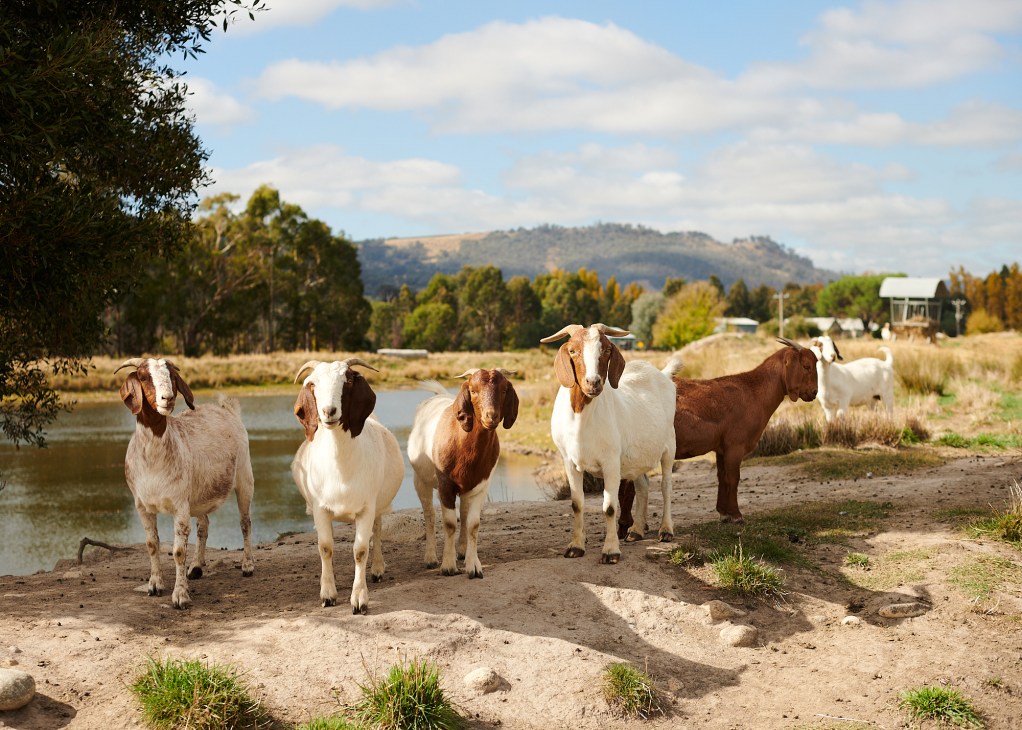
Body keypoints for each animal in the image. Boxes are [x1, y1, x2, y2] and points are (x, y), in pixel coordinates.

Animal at [116, 357, 254, 609]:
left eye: (171, 376)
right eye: (143, 376)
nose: (167, 398)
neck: (153, 459)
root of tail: (227, 409)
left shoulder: (179, 505)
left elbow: (179, 551)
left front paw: (180, 595)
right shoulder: (142, 506)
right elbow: (152, 544)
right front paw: (154, 585)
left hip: (244, 478)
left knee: (245, 522)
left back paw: (247, 565)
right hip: (198, 496)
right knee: (204, 525)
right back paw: (197, 567)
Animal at [291, 358, 403, 614]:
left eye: (348, 380)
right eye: (313, 383)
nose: (328, 411)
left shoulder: (366, 508)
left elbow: (360, 550)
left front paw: (359, 599)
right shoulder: (321, 509)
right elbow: (325, 547)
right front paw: (328, 594)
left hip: (378, 505)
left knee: (377, 531)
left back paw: (378, 569)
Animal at [407, 369, 519, 579]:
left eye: (503, 390)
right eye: (473, 391)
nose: (491, 416)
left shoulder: (481, 485)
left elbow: (473, 523)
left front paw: (473, 566)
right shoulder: (445, 485)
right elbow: (450, 523)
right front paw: (448, 566)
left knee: (464, 513)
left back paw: (461, 550)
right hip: (421, 480)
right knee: (429, 514)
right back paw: (430, 557)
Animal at [540, 323, 677, 563]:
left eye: (606, 350)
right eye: (573, 351)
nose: (593, 382)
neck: (581, 419)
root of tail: (662, 374)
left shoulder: (611, 461)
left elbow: (610, 507)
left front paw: (611, 551)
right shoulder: (569, 461)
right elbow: (577, 504)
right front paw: (575, 547)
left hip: (669, 445)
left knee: (666, 486)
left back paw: (666, 530)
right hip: (636, 456)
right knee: (643, 485)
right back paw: (636, 531)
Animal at [623, 337, 818, 530]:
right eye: (806, 366)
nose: (814, 392)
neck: (753, 391)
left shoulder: (721, 448)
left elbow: (722, 477)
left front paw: (724, 514)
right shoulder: (735, 446)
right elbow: (733, 478)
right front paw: (737, 516)